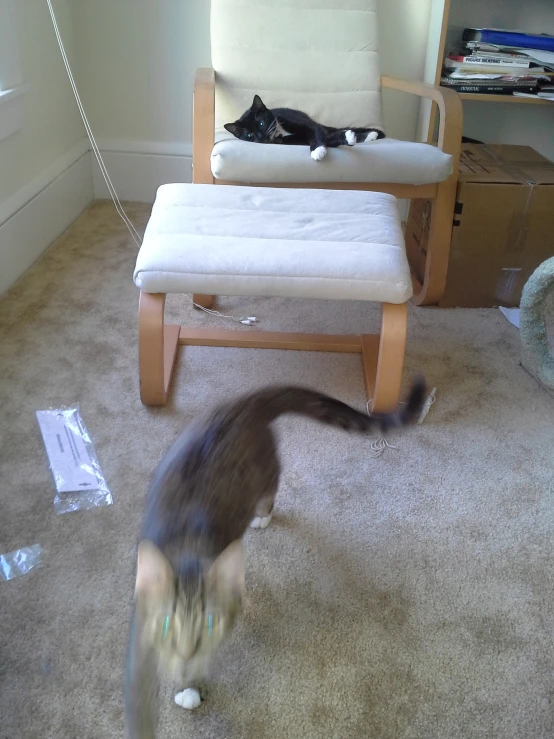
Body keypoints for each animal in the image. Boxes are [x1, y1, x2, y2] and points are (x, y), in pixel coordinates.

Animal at [124, 378, 422, 736]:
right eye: (167, 624)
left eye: (209, 624)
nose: (184, 656)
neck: (186, 548)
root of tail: (242, 404)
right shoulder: (139, 639)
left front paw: (191, 685)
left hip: (263, 469)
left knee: (272, 485)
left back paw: (262, 516)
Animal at [224, 94, 384, 161]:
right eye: (249, 136)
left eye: (261, 124)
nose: (260, 138)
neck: (280, 133)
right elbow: (326, 139)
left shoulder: (307, 126)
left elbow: (317, 134)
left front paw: (317, 150)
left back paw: (369, 135)